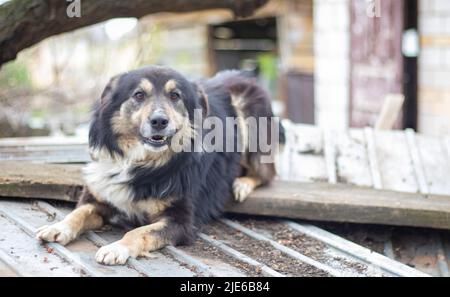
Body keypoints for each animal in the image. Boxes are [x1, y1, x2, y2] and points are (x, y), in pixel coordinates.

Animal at [36, 66, 284, 264]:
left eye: (175, 96)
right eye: (138, 95)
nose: (159, 121)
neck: (141, 161)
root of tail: (243, 74)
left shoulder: (180, 221)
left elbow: (139, 232)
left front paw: (117, 248)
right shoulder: (99, 197)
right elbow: (78, 213)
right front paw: (57, 227)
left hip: (249, 118)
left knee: (268, 174)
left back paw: (242, 183)